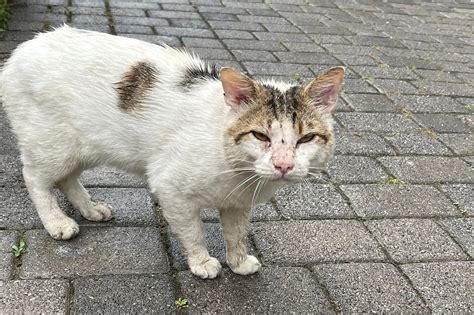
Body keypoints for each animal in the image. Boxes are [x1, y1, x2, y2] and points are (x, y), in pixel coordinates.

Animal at [0, 26, 344, 278]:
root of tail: (23, 48)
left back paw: (90, 209)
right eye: (260, 135)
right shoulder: (170, 189)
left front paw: (238, 261)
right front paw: (202, 263)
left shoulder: (237, 203)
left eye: (306, 138)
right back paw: (57, 223)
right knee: (35, 178)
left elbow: (236, 233)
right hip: (52, 145)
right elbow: (193, 232)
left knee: (67, 179)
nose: (284, 165)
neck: (240, 175)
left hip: (81, 148)